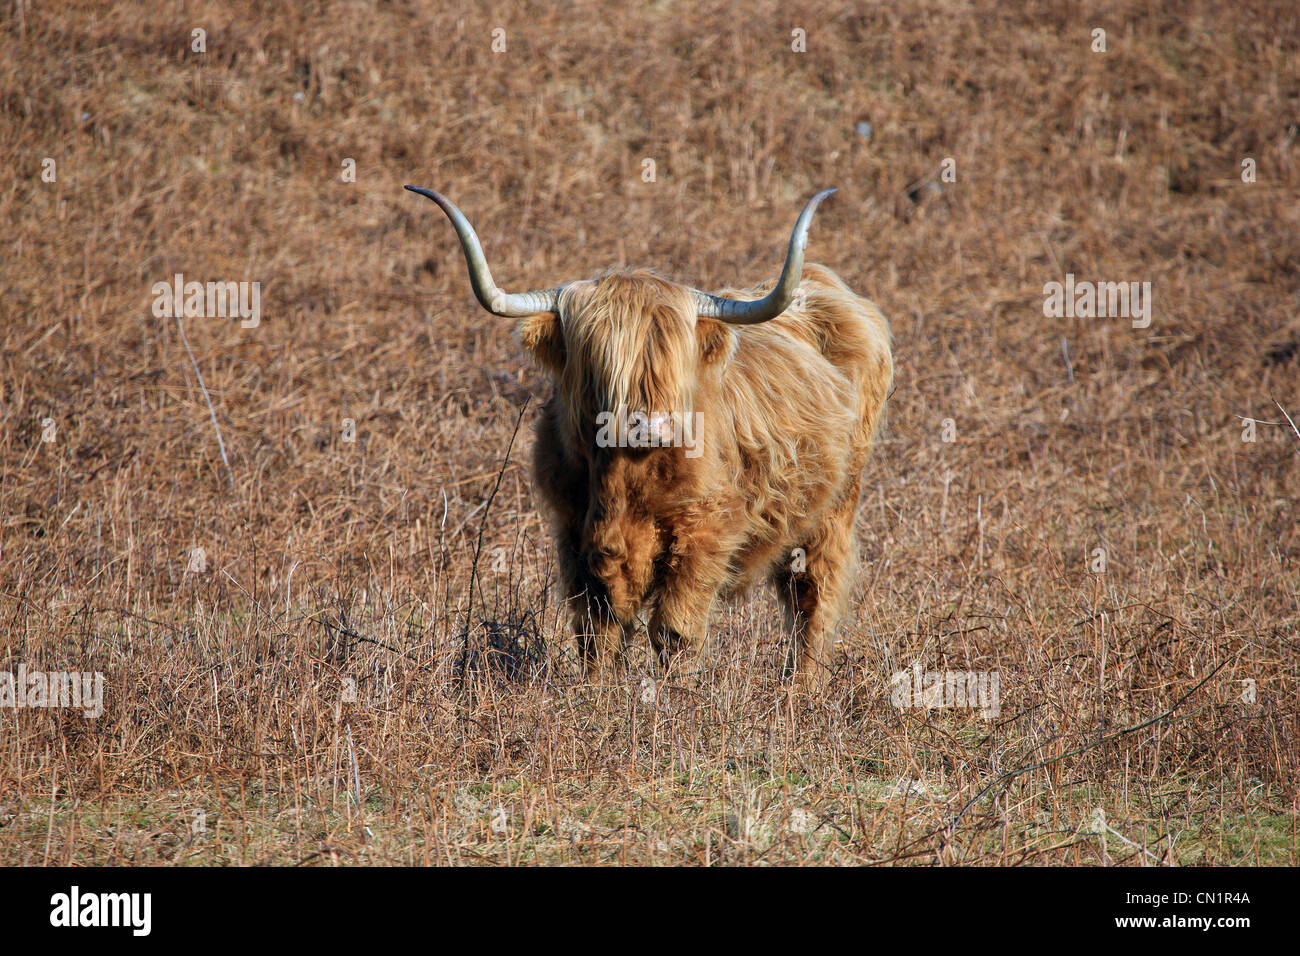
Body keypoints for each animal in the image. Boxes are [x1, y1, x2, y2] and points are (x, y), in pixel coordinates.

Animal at [407, 186, 892, 689]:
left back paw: (802, 688)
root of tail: (825, 284)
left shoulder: (705, 533)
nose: (650, 426)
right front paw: (596, 694)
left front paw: (676, 696)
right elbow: (597, 629)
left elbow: (675, 630)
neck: (624, 480)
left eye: (673, 359)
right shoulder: (573, 533)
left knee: (813, 596)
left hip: (834, 509)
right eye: (600, 359)